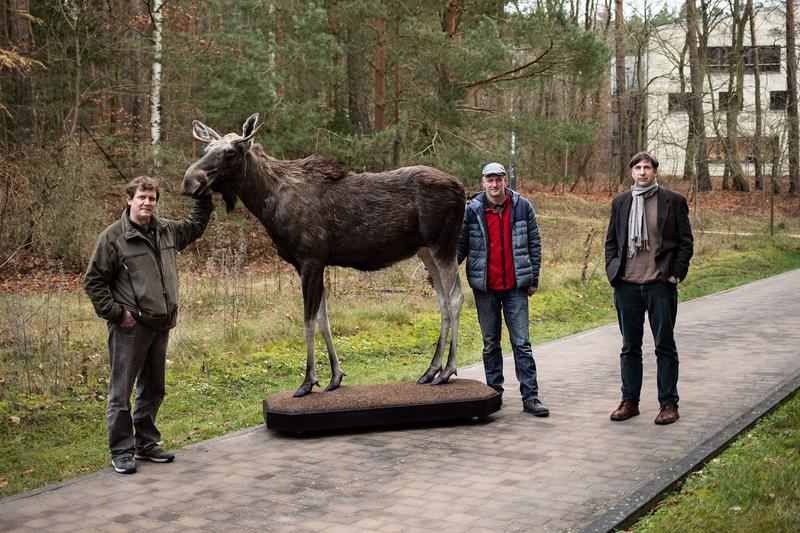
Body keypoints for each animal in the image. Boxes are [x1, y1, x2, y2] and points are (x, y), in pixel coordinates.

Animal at [181, 113, 466, 394]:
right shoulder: (306, 263)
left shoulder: (311, 258)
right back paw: (431, 370)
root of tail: (462, 188)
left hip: (443, 244)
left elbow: (308, 321)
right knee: (442, 300)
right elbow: (323, 318)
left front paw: (308, 381)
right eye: (206, 149)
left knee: (455, 297)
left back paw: (447, 371)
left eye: (230, 152)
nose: (189, 182)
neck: (266, 205)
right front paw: (335, 376)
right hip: (425, 251)